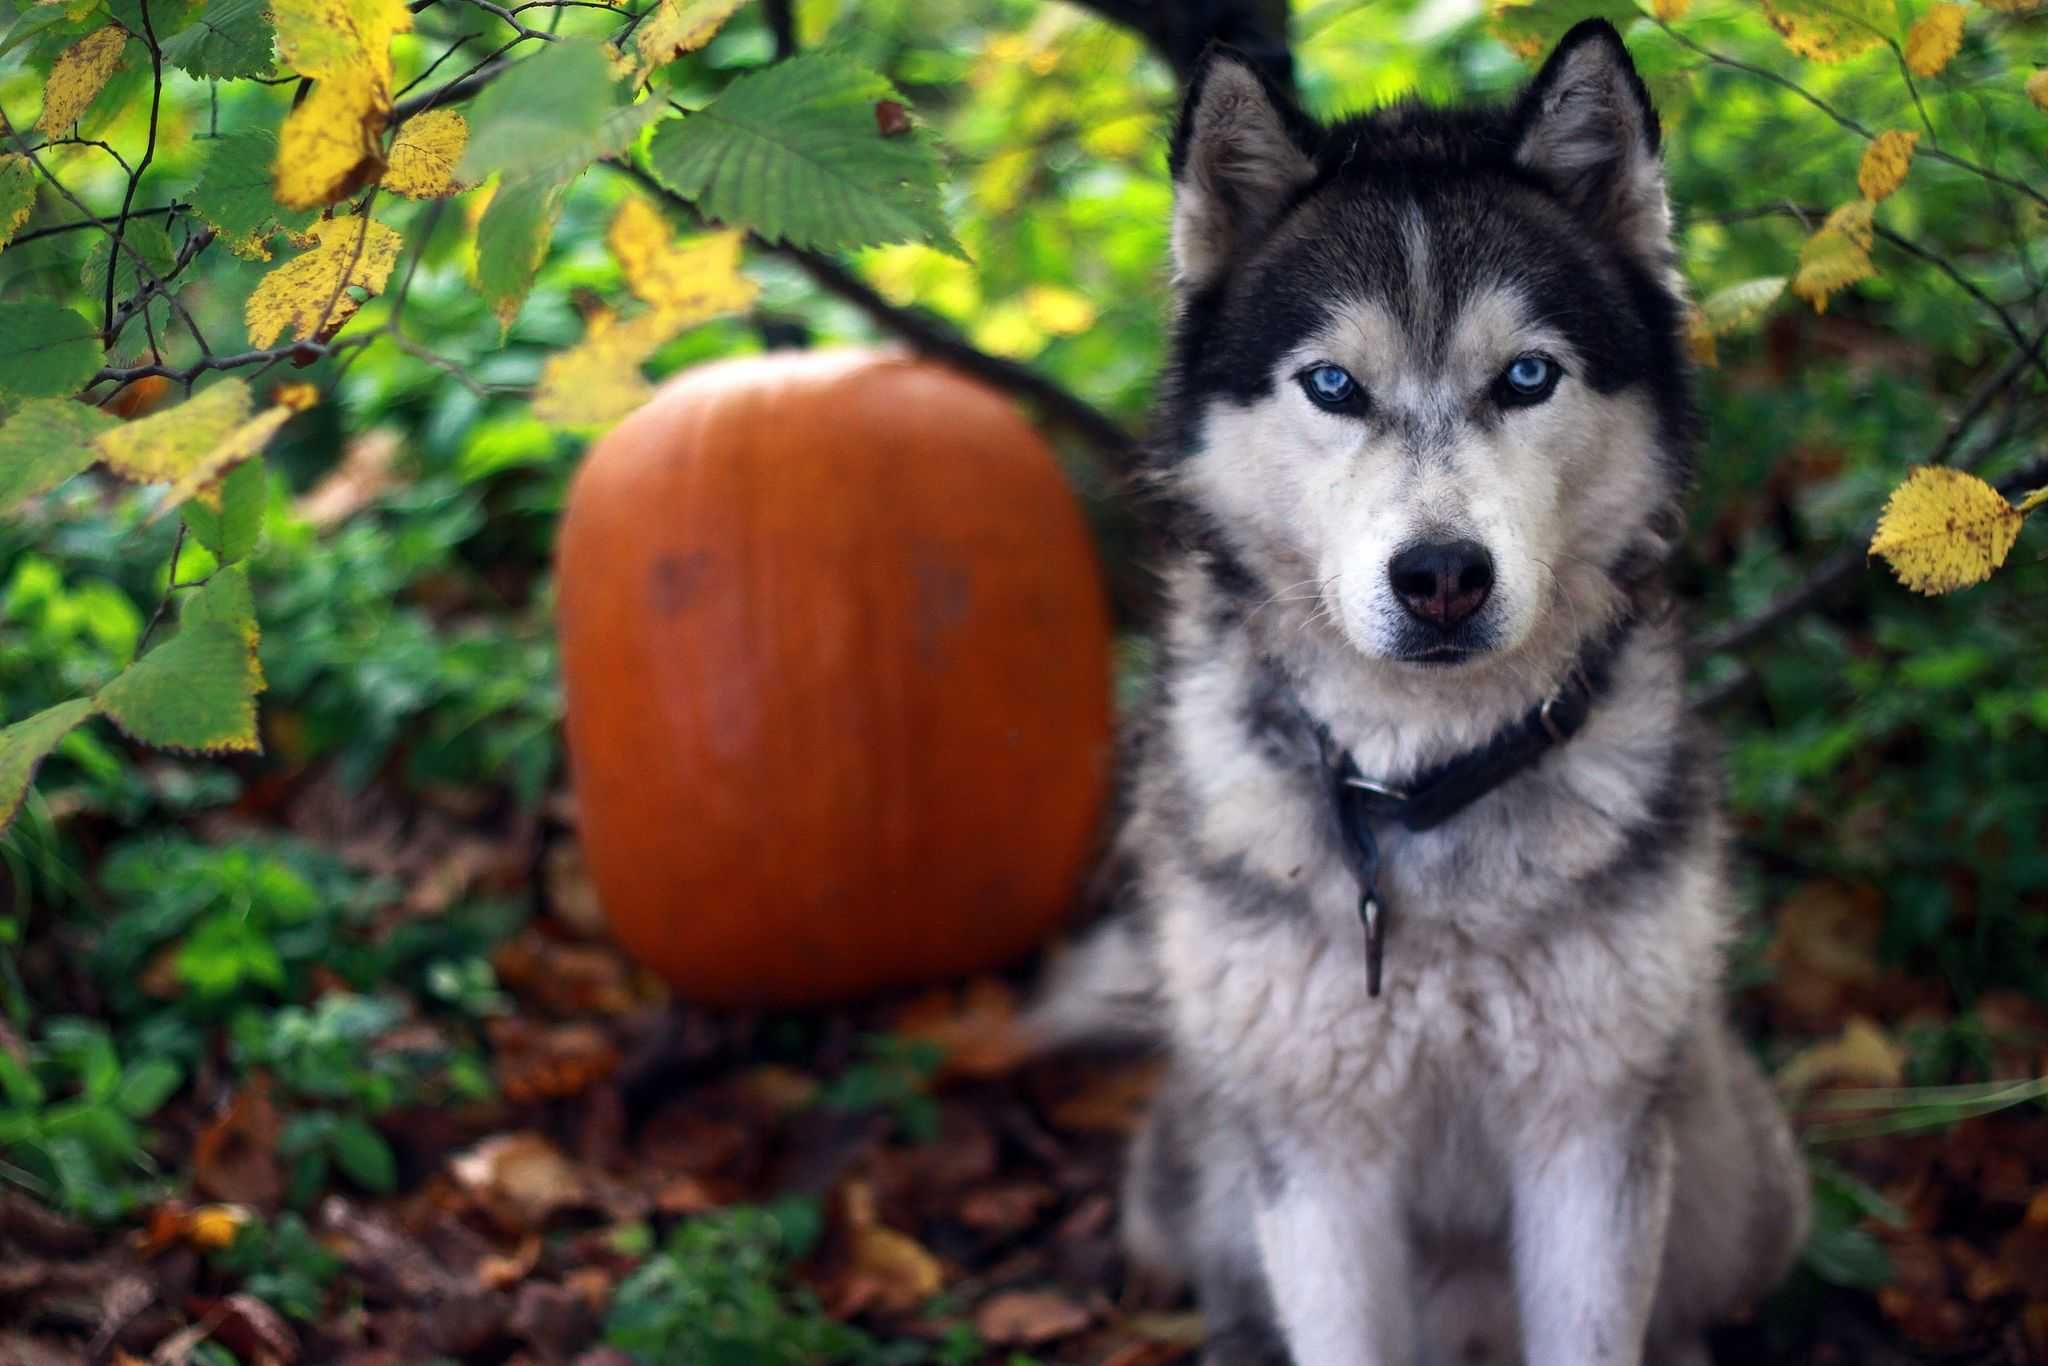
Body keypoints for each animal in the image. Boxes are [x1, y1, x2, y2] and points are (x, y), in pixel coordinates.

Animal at [1040, 21, 1810, 1366]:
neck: (1424, 779)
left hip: (1737, 1166)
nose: (1441, 575)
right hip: (1200, 1172)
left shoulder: (1587, 1136)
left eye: (1525, 376)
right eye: (1332, 387)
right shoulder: (1320, 1161)